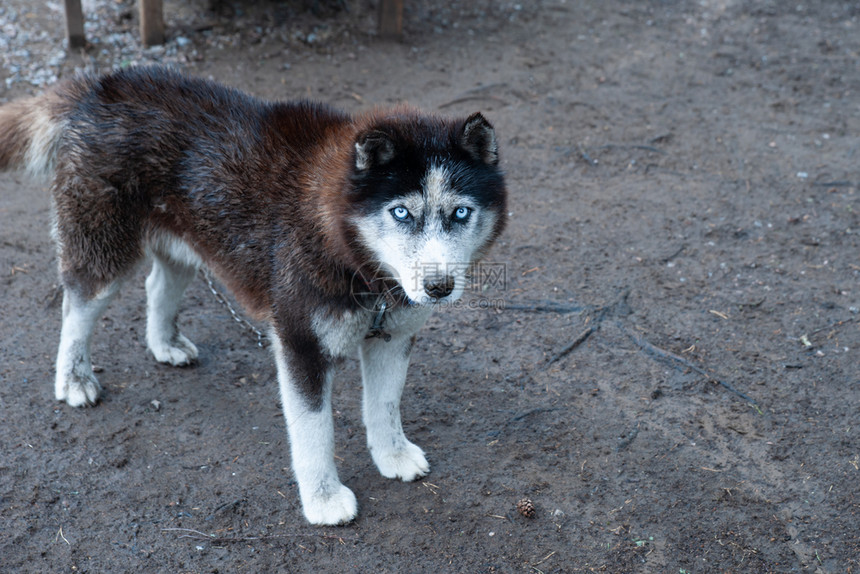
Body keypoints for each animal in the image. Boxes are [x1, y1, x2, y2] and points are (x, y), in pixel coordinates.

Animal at [0, 66, 508, 528]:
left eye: (460, 212)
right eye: (401, 212)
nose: (438, 286)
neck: (356, 261)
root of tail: (100, 85)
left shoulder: (392, 337)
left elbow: (384, 406)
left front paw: (392, 454)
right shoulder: (300, 343)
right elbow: (315, 432)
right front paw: (323, 498)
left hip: (187, 244)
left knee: (157, 285)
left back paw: (164, 343)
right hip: (103, 251)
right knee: (77, 308)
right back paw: (73, 378)